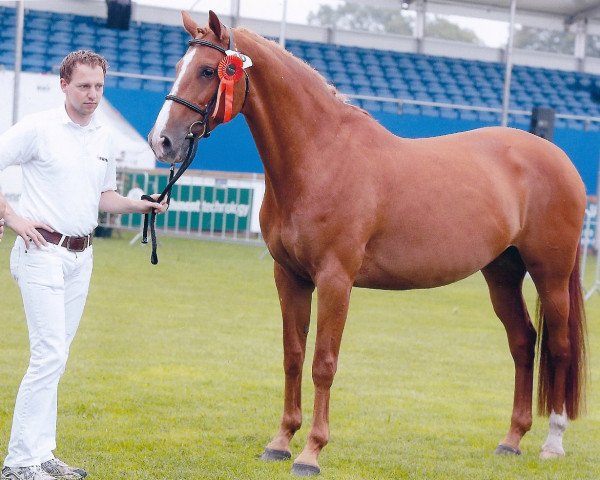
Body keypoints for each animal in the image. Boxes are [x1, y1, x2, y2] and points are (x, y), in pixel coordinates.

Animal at [148, 10, 588, 476]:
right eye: (178, 66)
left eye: (208, 70)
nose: (162, 141)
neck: (320, 157)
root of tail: (560, 159)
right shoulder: (290, 277)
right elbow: (293, 356)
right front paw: (281, 441)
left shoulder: (335, 280)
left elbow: (323, 363)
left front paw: (311, 453)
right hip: (502, 272)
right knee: (523, 342)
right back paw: (512, 439)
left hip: (550, 274)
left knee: (558, 347)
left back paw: (553, 442)